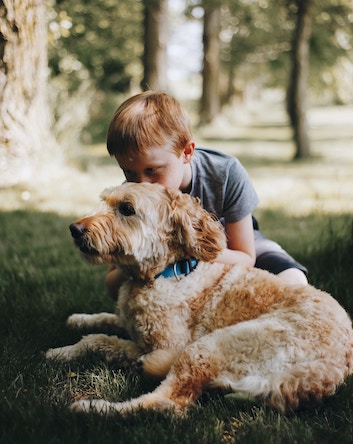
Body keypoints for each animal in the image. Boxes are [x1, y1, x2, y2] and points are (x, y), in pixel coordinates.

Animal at [46, 181, 352, 416]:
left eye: (127, 209)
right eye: (106, 201)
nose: (74, 229)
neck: (166, 272)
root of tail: (326, 373)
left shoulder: (165, 345)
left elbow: (100, 340)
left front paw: (61, 352)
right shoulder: (128, 322)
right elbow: (103, 323)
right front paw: (77, 322)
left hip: (209, 347)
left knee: (167, 404)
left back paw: (95, 408)